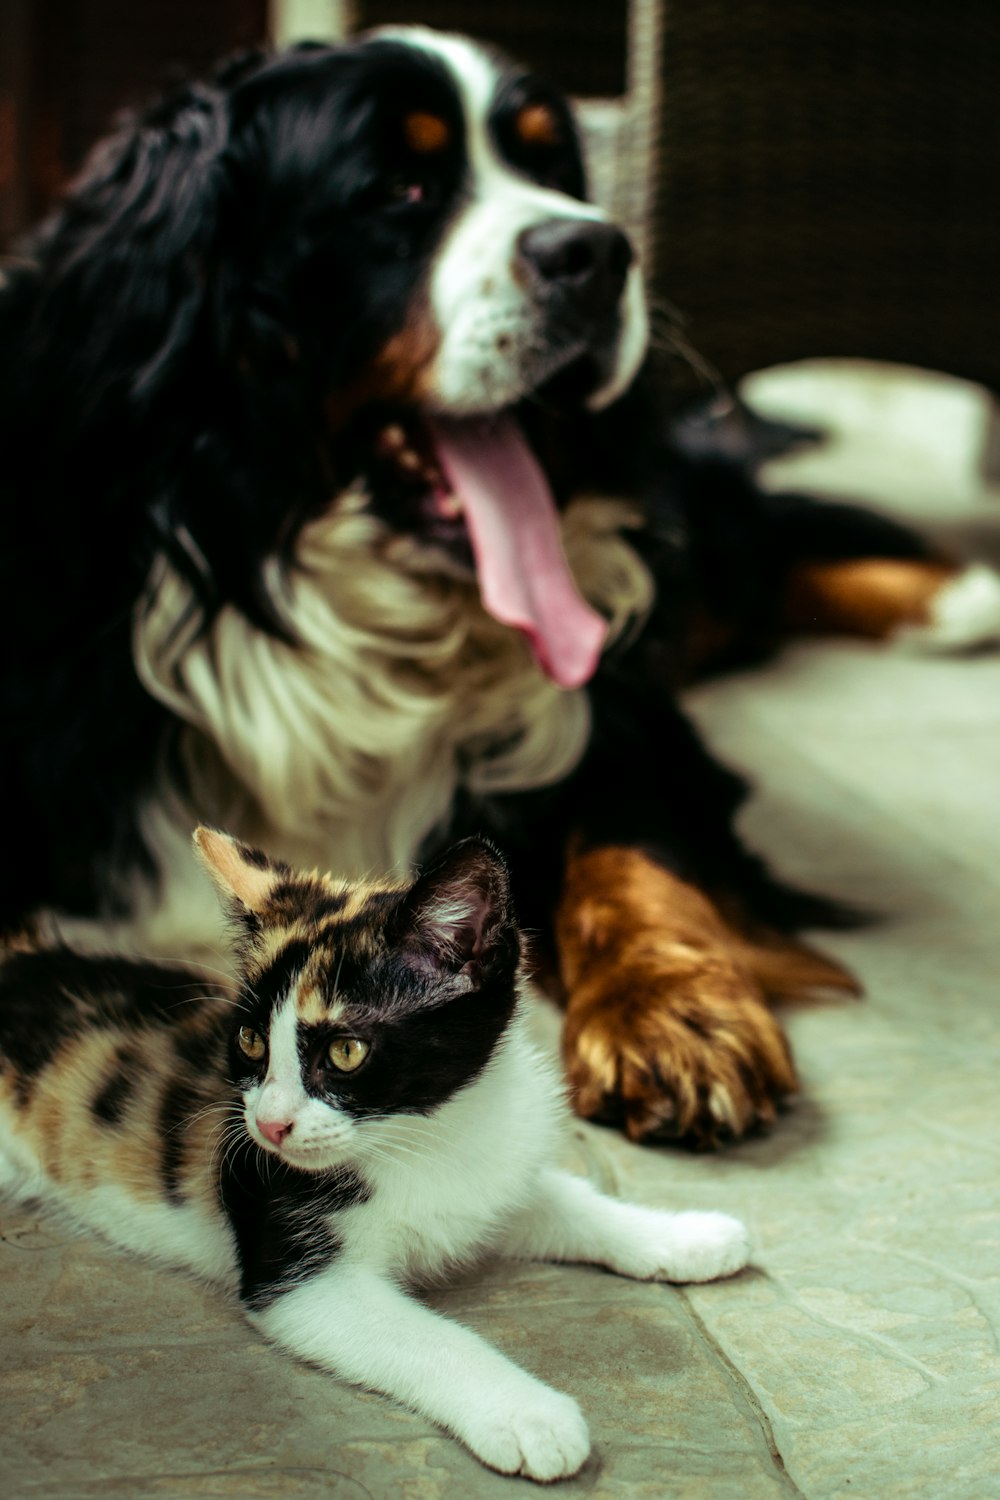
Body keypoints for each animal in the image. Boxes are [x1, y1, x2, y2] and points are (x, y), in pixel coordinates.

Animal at [1, 828, 749, 1482]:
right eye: (249, 1041)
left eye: (345, 1051)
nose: (267, 1125)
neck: (421, 1134)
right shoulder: (297, 1271)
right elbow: (428, 1337)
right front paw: (528, 1415)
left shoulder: (490, 1170)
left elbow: (566, 1199)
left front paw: (686, 1235)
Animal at [3, 26, 995, 1146]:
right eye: (399, 187)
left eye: (553, 167)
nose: (599, 252)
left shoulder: (624, 723)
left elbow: (632, 854)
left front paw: (674, 1009)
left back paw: (954, 598)